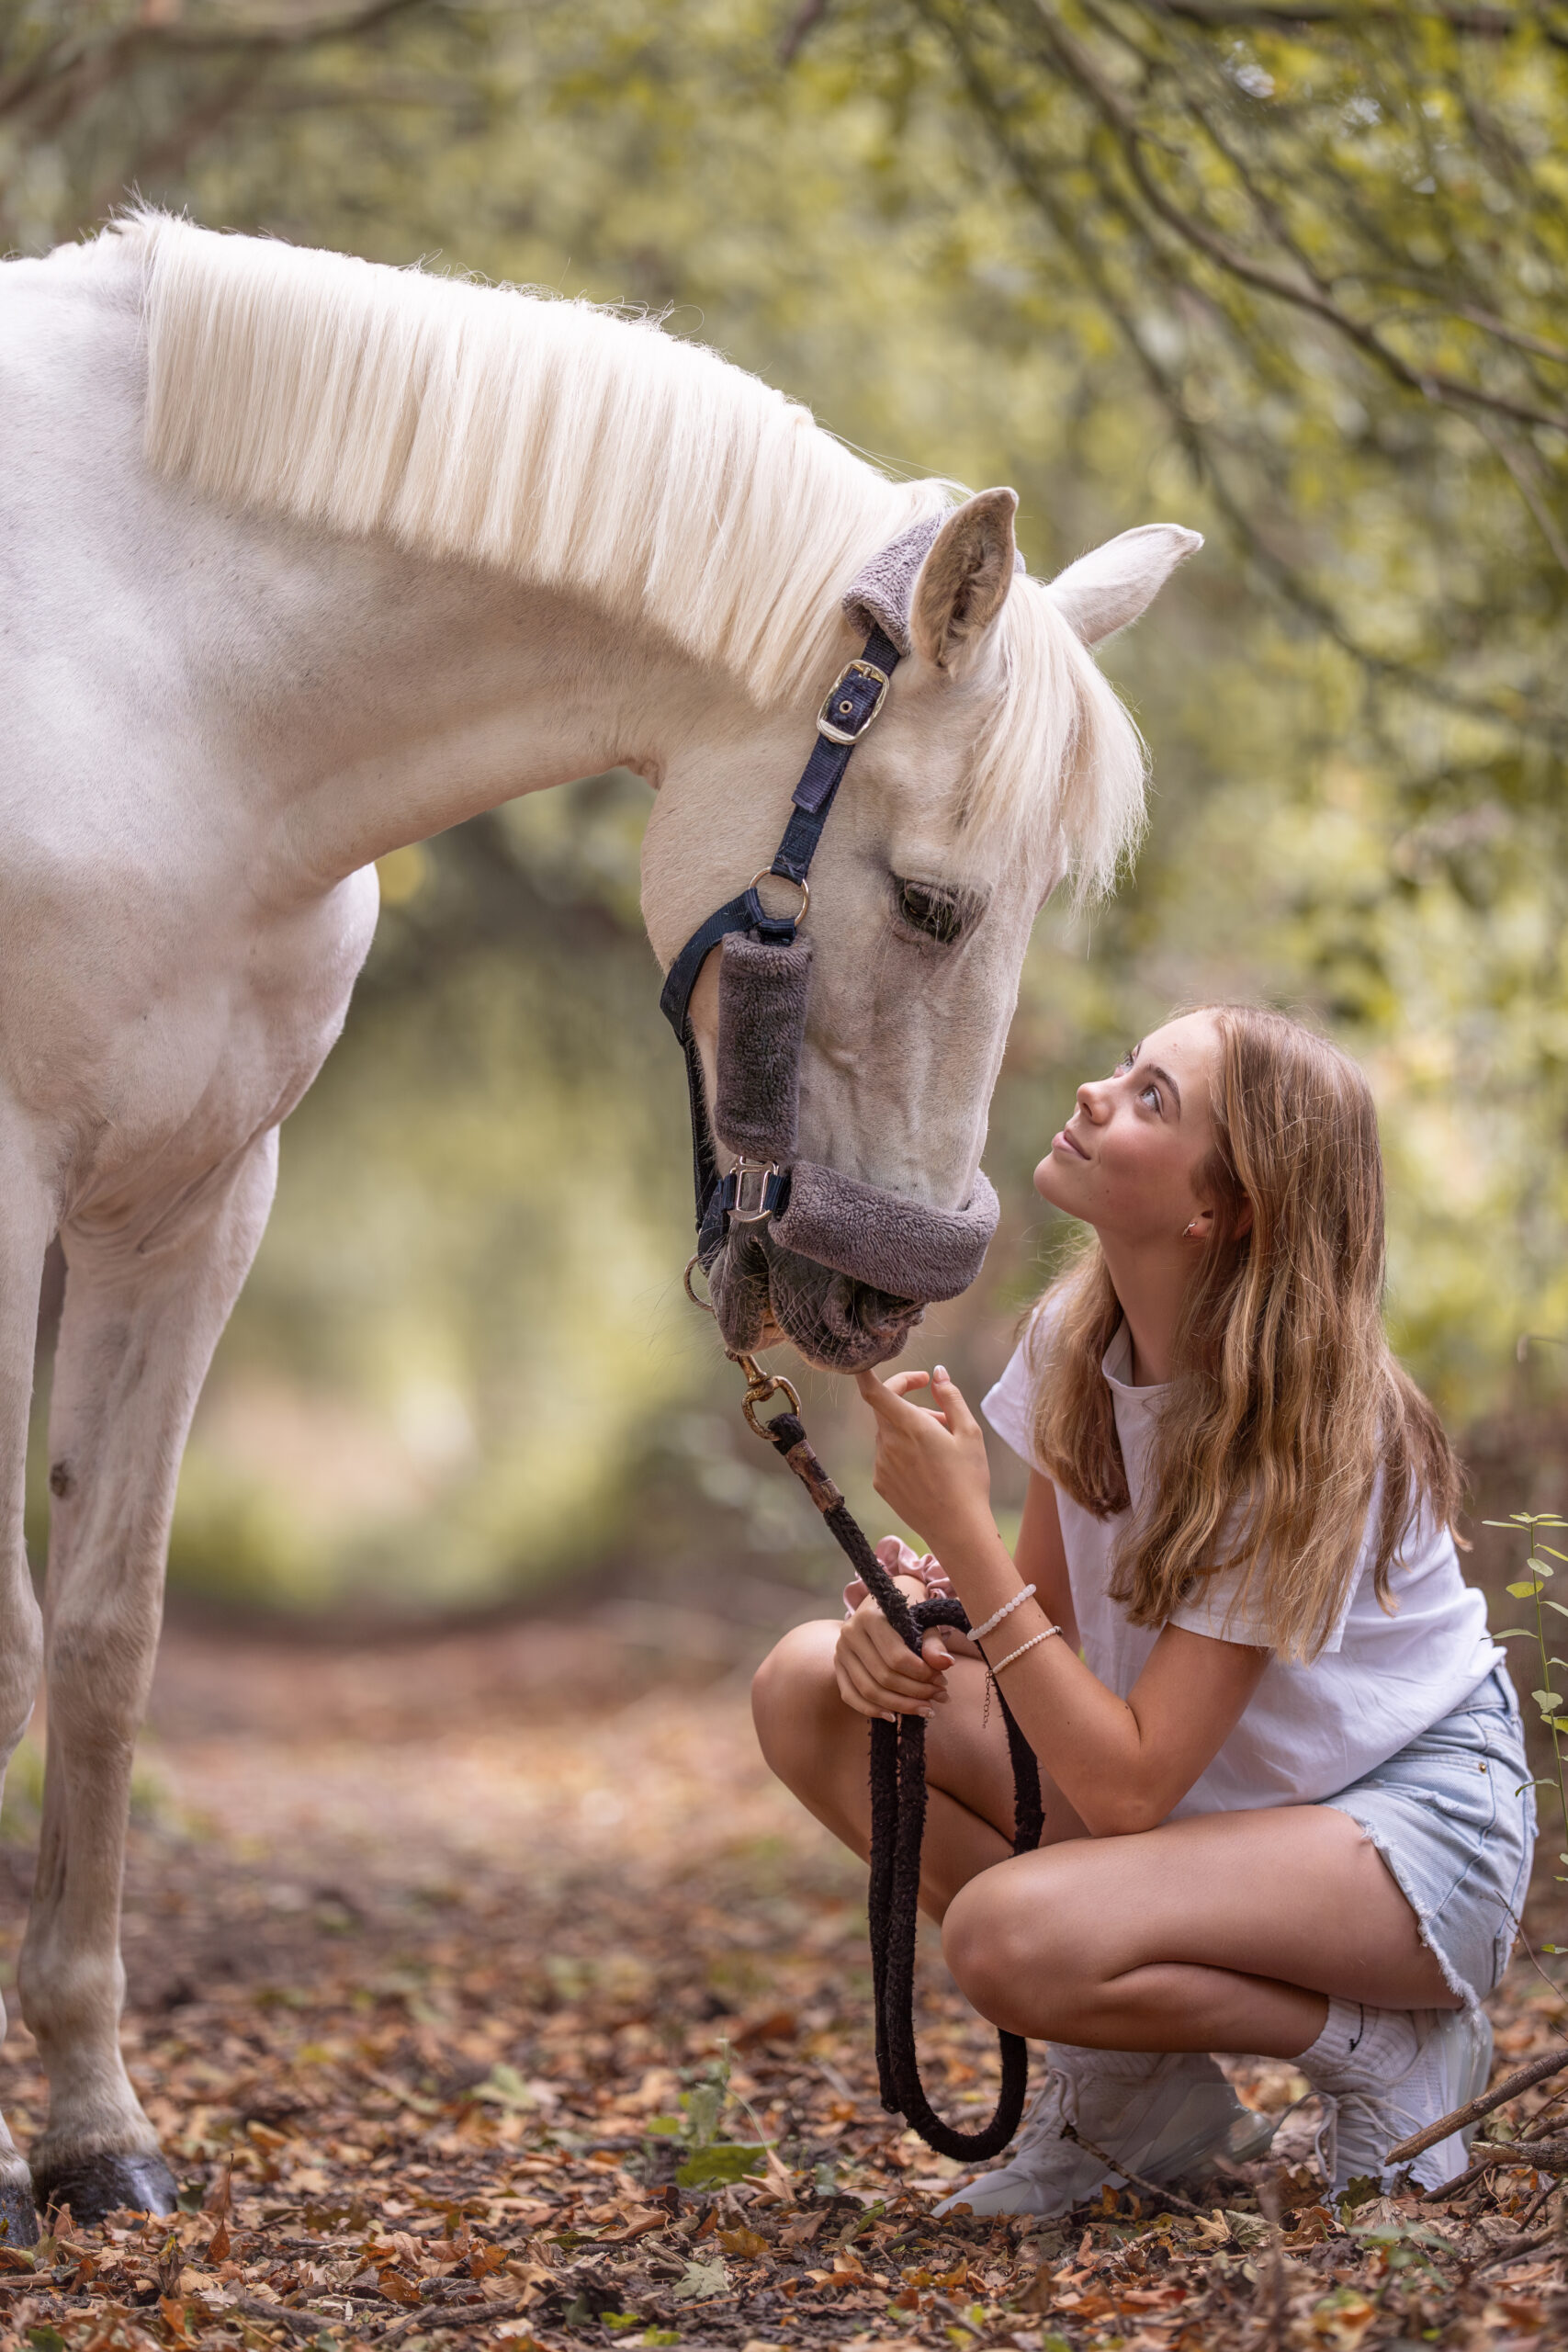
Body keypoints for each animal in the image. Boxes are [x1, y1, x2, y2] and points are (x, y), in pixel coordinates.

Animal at [0, 210, 1197, 2232]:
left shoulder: (190, 1199)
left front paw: (91, 2126)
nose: (893, 1290)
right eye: (934, 902)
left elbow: (99, 1639)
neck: (163, 676)